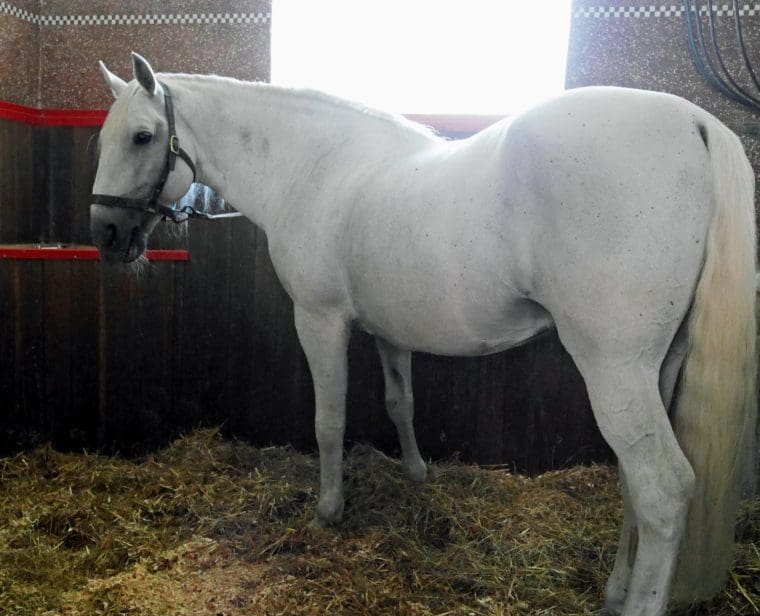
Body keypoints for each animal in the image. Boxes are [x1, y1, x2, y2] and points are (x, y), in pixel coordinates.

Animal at [89, 53, 757, 615]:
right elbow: (399, 403)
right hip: (658, 369)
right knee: (632, 483)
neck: (320, 169)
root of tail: (696, 121)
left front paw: (327, 511)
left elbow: (329, 422)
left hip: (615, 369)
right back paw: (617, 591)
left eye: (142, 136)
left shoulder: (319, 319)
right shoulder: (392, 331)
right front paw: (415, 476)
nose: (107, 236)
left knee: (663, 490)